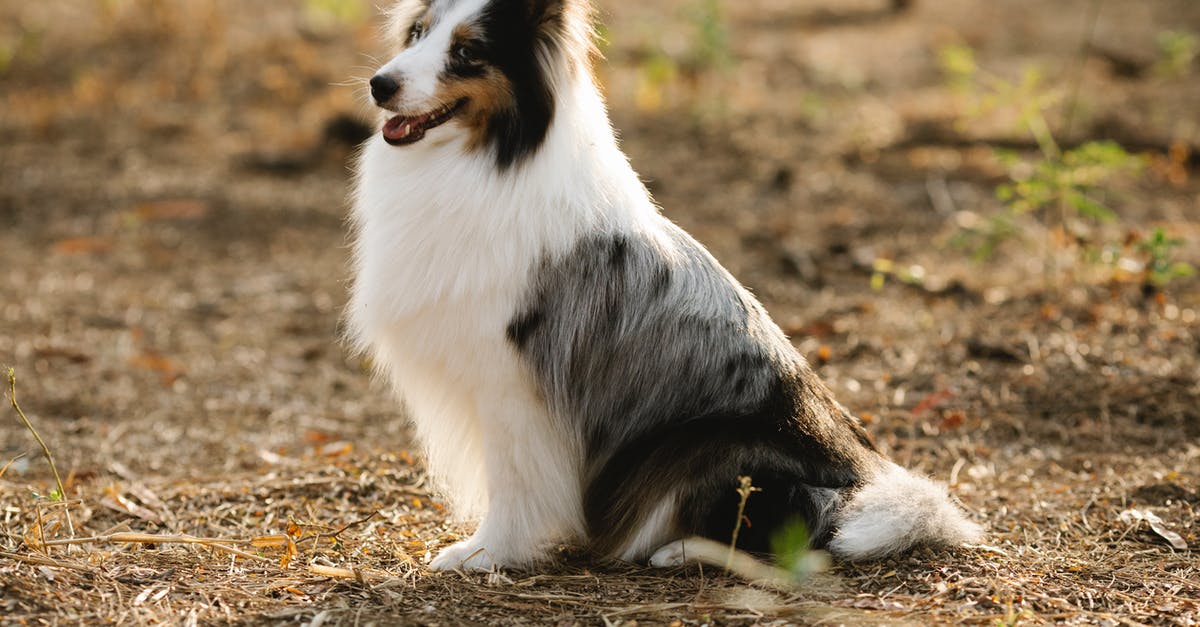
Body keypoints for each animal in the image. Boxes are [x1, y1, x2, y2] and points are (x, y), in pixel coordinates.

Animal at [345, 0, 974, 569]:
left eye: (468, 52)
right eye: (418, 32)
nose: (379, 85)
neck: (490, 159)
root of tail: (866, 480)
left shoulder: (513, 379)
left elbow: (513, 482)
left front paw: (485, 553)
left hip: (707, 447)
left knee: (802, 537)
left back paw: (677, 551)